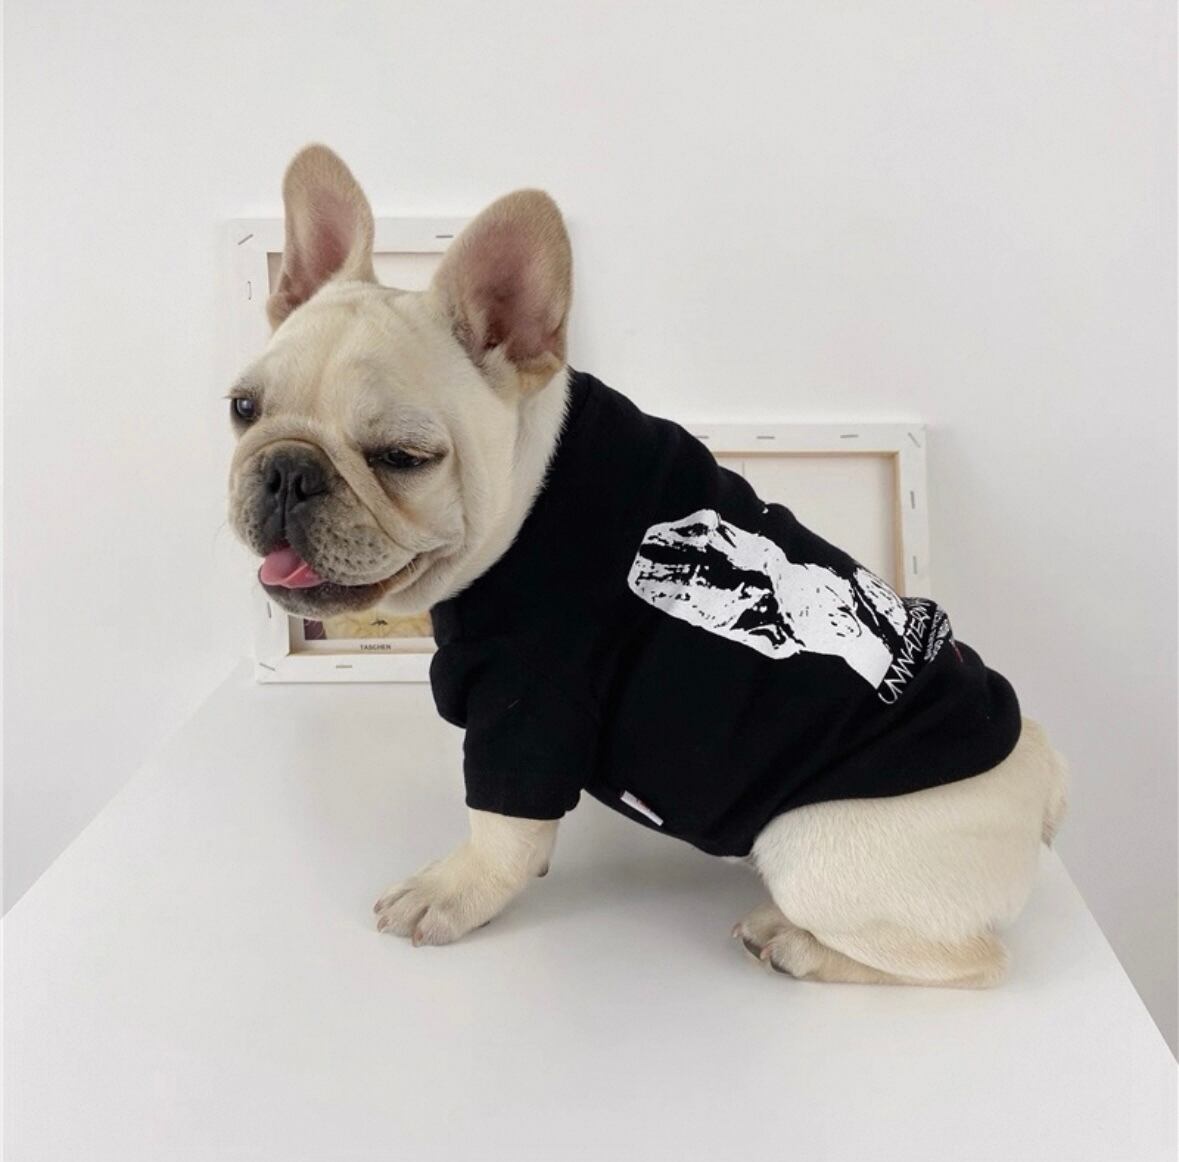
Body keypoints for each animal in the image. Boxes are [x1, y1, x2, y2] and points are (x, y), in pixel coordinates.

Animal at [228, 145, 1068, 986]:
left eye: (402, 459)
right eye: (242, 409)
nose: (288, 473)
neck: (526, 498)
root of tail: (1042, 788)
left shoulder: (530, 703)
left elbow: (499, 827)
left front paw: (450, 892)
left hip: (812, 849)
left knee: (974, 961)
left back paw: (793, 943)